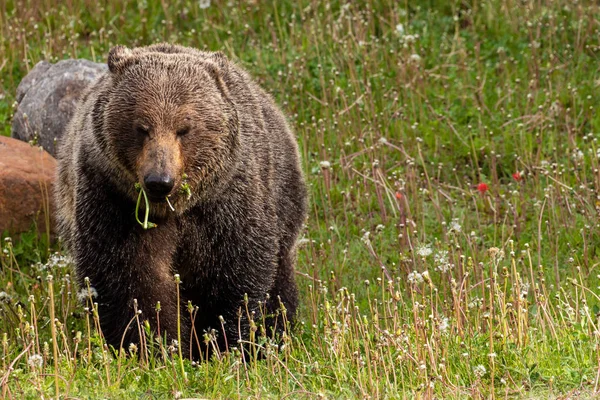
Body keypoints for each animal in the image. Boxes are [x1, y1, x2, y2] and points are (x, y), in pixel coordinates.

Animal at [55, 43, 308, 356]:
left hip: (282, 197)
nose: (159, 181)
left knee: (280, 278)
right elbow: (130, 279)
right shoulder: (112, 200)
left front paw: (222, 341)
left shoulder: (226, 204)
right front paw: (153, 343)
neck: (175, 210)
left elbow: (233, 274)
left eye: (184, 128)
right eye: (142, 127)